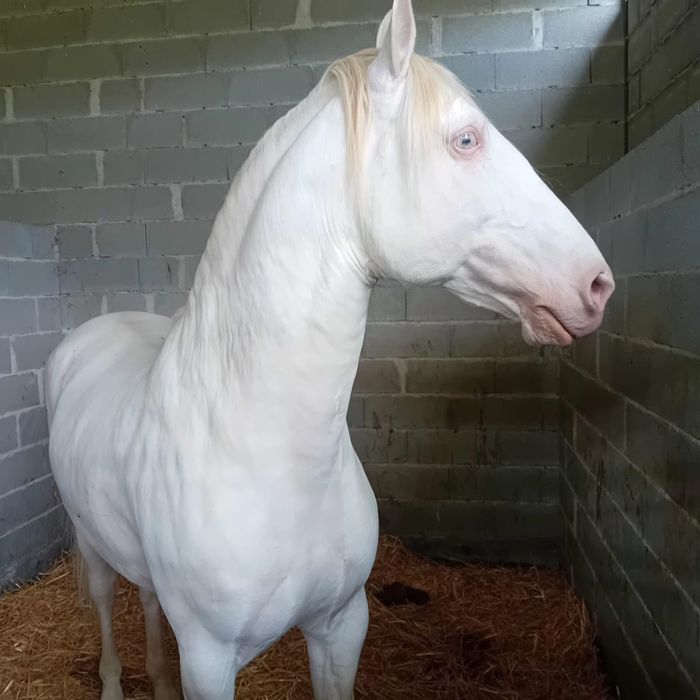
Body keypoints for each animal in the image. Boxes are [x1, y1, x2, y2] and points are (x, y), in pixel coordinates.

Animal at [45, 1, 614, 698]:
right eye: (465, 140)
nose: (599, 284)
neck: (270, 457)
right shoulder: (208, 660)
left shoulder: (342, 624)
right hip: (90, 546)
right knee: (104, 606)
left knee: (149, 601)